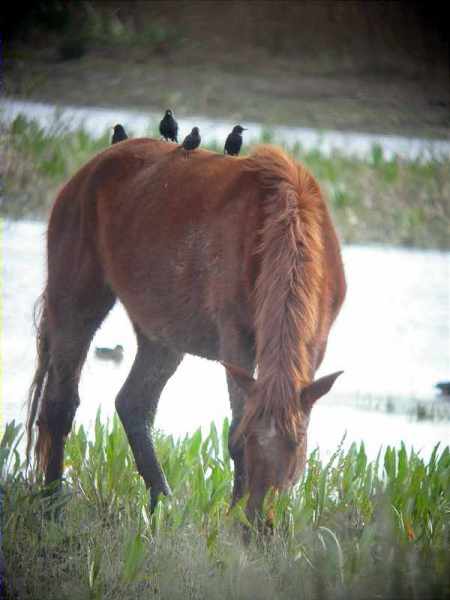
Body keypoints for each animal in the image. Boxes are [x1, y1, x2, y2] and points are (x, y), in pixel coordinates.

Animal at [26, 139, 346, 520]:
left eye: (297, 444)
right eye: (251, 439)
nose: (257, 519)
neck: (283, 222)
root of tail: (84, 174)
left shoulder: (315, 346)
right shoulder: (236, 340)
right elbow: (235, 425)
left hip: (161, 337)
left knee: (134, 404)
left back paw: (161, 506)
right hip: (76, 302)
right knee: (60, 403)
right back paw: (52, 505)